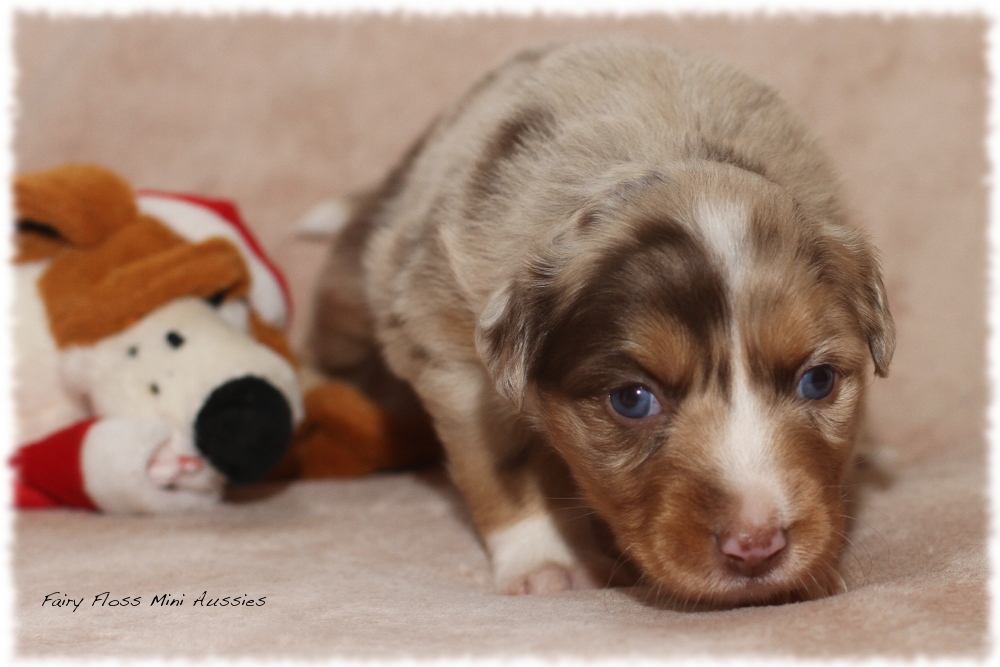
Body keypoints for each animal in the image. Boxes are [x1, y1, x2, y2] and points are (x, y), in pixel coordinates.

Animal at [310, 37, 892, 612]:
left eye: (818, 381)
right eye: (631, 399)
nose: (756, 544)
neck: (673, 155)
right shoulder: (450, 343)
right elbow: (507, 460)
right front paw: (549, 565)